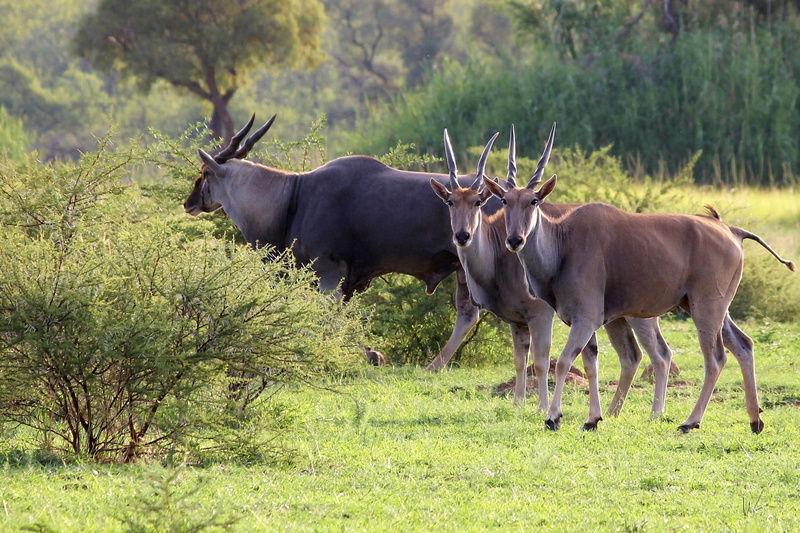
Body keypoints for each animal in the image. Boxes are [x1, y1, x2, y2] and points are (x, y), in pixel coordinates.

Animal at [184, 113, 498, 373]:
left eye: (205, 172)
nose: (189, 202)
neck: (293, 197)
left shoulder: (329, 273)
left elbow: (327, 317)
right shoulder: (347, 281)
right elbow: (340, 317)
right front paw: (368, 354)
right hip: (463, 269)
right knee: (468, 314)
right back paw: (435, 365)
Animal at [430, 127, 673, 413]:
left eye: (478, 202)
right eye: (450, 202)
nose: (462, 236)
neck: (497, 256)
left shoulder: (541, 314)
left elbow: (541, 361)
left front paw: (541, 407)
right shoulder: (517, 322)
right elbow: (519, 361)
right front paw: (518, 404)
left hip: (640, 315)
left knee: (660, 354)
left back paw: (656, 412)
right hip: (616, 317)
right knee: (631, 356)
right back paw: (613, 412)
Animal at [484, 123, 796, 433]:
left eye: (534, 201)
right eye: (505, 200)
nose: (515, 239)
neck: (563, 244)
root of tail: (731, 230)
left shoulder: (586, 318)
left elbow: (562, 361)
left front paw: (553, 417)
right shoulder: (586, 322)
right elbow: (590, 363)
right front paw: (592, 419)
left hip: (706, 307)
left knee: (716, 358)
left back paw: (690, 421)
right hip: (713, 307)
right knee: (744, 345)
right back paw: (755, 420)